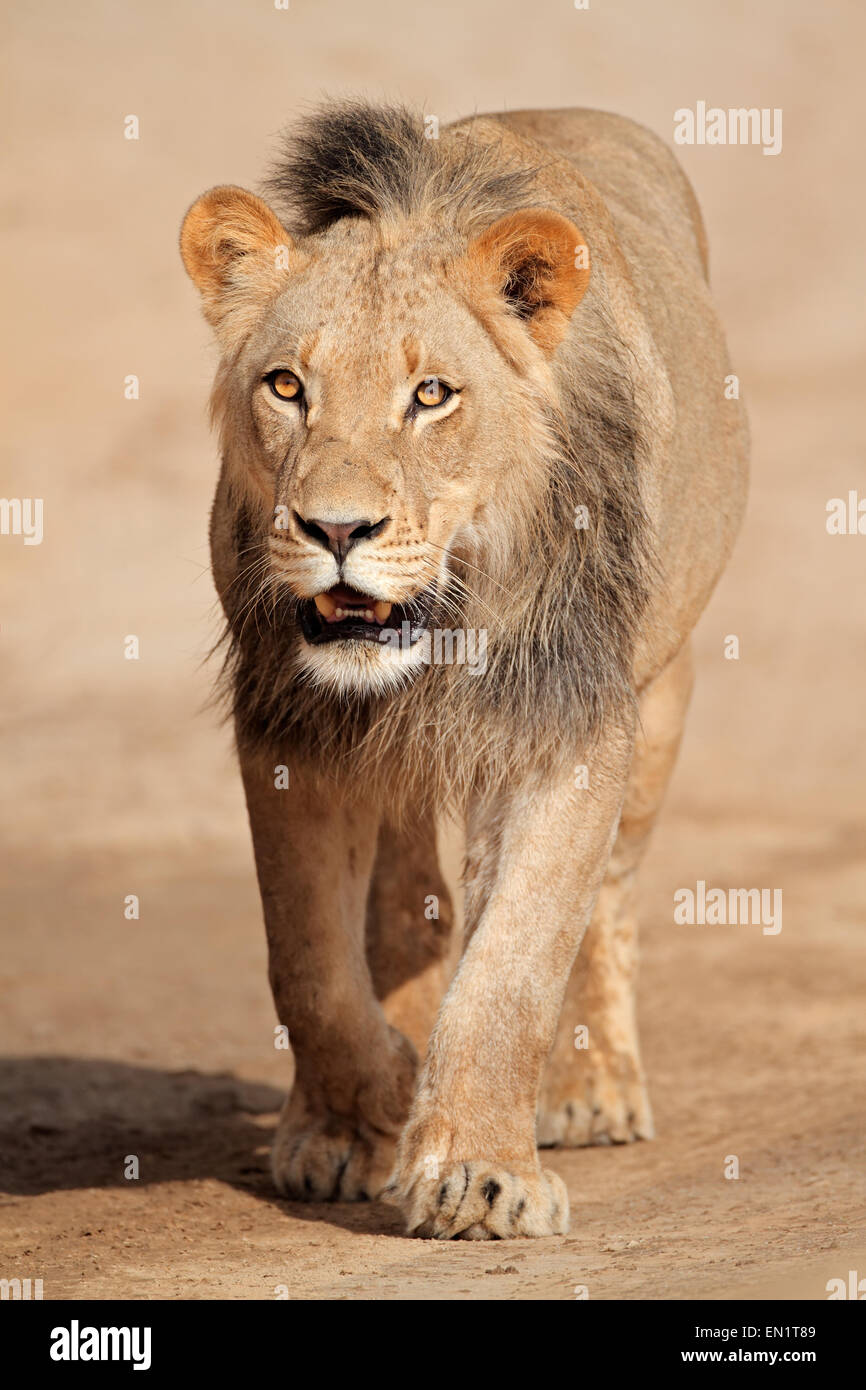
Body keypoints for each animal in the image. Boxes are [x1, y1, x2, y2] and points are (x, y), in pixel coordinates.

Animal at [179, 100, 750, 1239]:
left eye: (431, 394)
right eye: (286, 387)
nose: (335, 529)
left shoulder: (568, 729)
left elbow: (514, 967)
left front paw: (480, 1174)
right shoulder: (289, 731)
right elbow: (310, 965)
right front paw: (363, 1116)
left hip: (660, 697)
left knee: (609, 899)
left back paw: (591, 1088)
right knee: (406, 904)